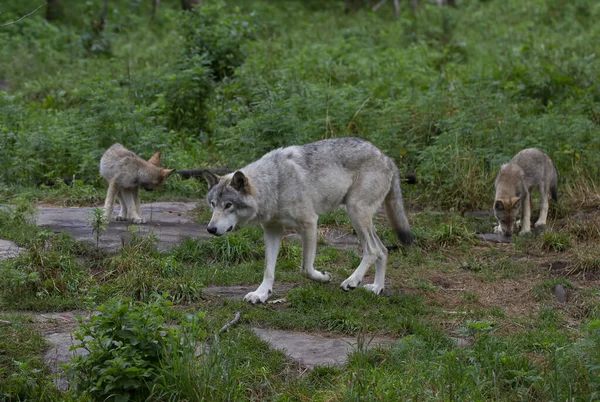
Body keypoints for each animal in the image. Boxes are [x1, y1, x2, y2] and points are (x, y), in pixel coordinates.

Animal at [202, 137, 412, 304]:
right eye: (213, 204)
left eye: (228, 205)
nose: (210, 229)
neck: (274, 185)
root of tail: (388, 158)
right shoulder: (272, 229)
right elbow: (268, 269)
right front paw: (261, 294)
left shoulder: (310, 223)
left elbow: (305, 269)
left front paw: (324, 277)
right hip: (360, 217)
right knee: (383, 251)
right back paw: (376, 288)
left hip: (355, 212)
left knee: (373, 250)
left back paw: (351, 282)